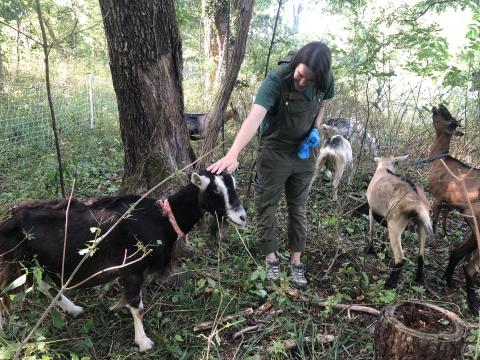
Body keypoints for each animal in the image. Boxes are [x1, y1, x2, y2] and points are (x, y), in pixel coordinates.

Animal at [0, 171, 246, 352]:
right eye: (215, 190)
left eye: (233, 184)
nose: (242, 217)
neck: (162, 217)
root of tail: (9, 220)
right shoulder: (132, 268)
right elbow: (137, 306)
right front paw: (144, 342)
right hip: (21, 260)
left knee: (44, 284)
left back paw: (74, 309)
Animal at [366, 156, 434, 288]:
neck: (384, 168)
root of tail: (417, 203)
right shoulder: (385, 219)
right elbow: (384, 236)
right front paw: (383, 252)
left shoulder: (371, 210)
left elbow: (371, 231)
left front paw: (370, 250)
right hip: (422, 226)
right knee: (421, 254)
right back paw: (418, 278)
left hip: (396, 226)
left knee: (400, 257)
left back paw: (389, 284)